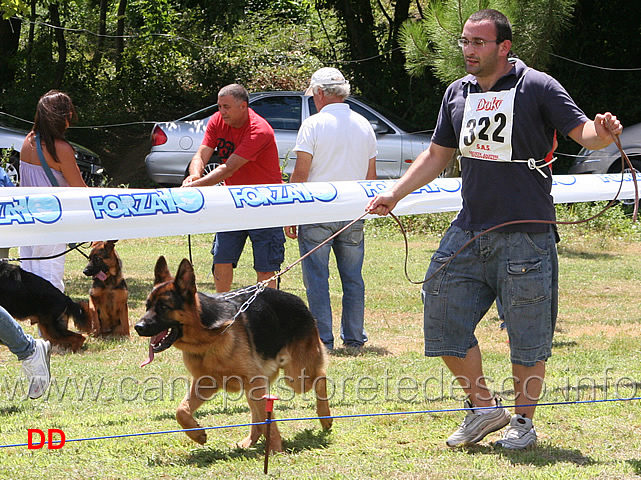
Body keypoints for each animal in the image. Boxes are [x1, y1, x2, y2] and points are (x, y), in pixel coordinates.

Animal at [137, 256, 332, 452]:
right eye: (147, 306)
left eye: (163, 306)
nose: (138, 327)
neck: (206, 339)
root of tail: (299, 302)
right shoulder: (205, 383)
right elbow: (181, 410)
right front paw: (197, 434)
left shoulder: (252, 381)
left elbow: (268, 420)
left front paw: (275, 450)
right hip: (257, 385)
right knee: (258, 416)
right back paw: (249, 441)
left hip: (295, 377)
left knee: (321, 376)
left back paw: (325, 417)